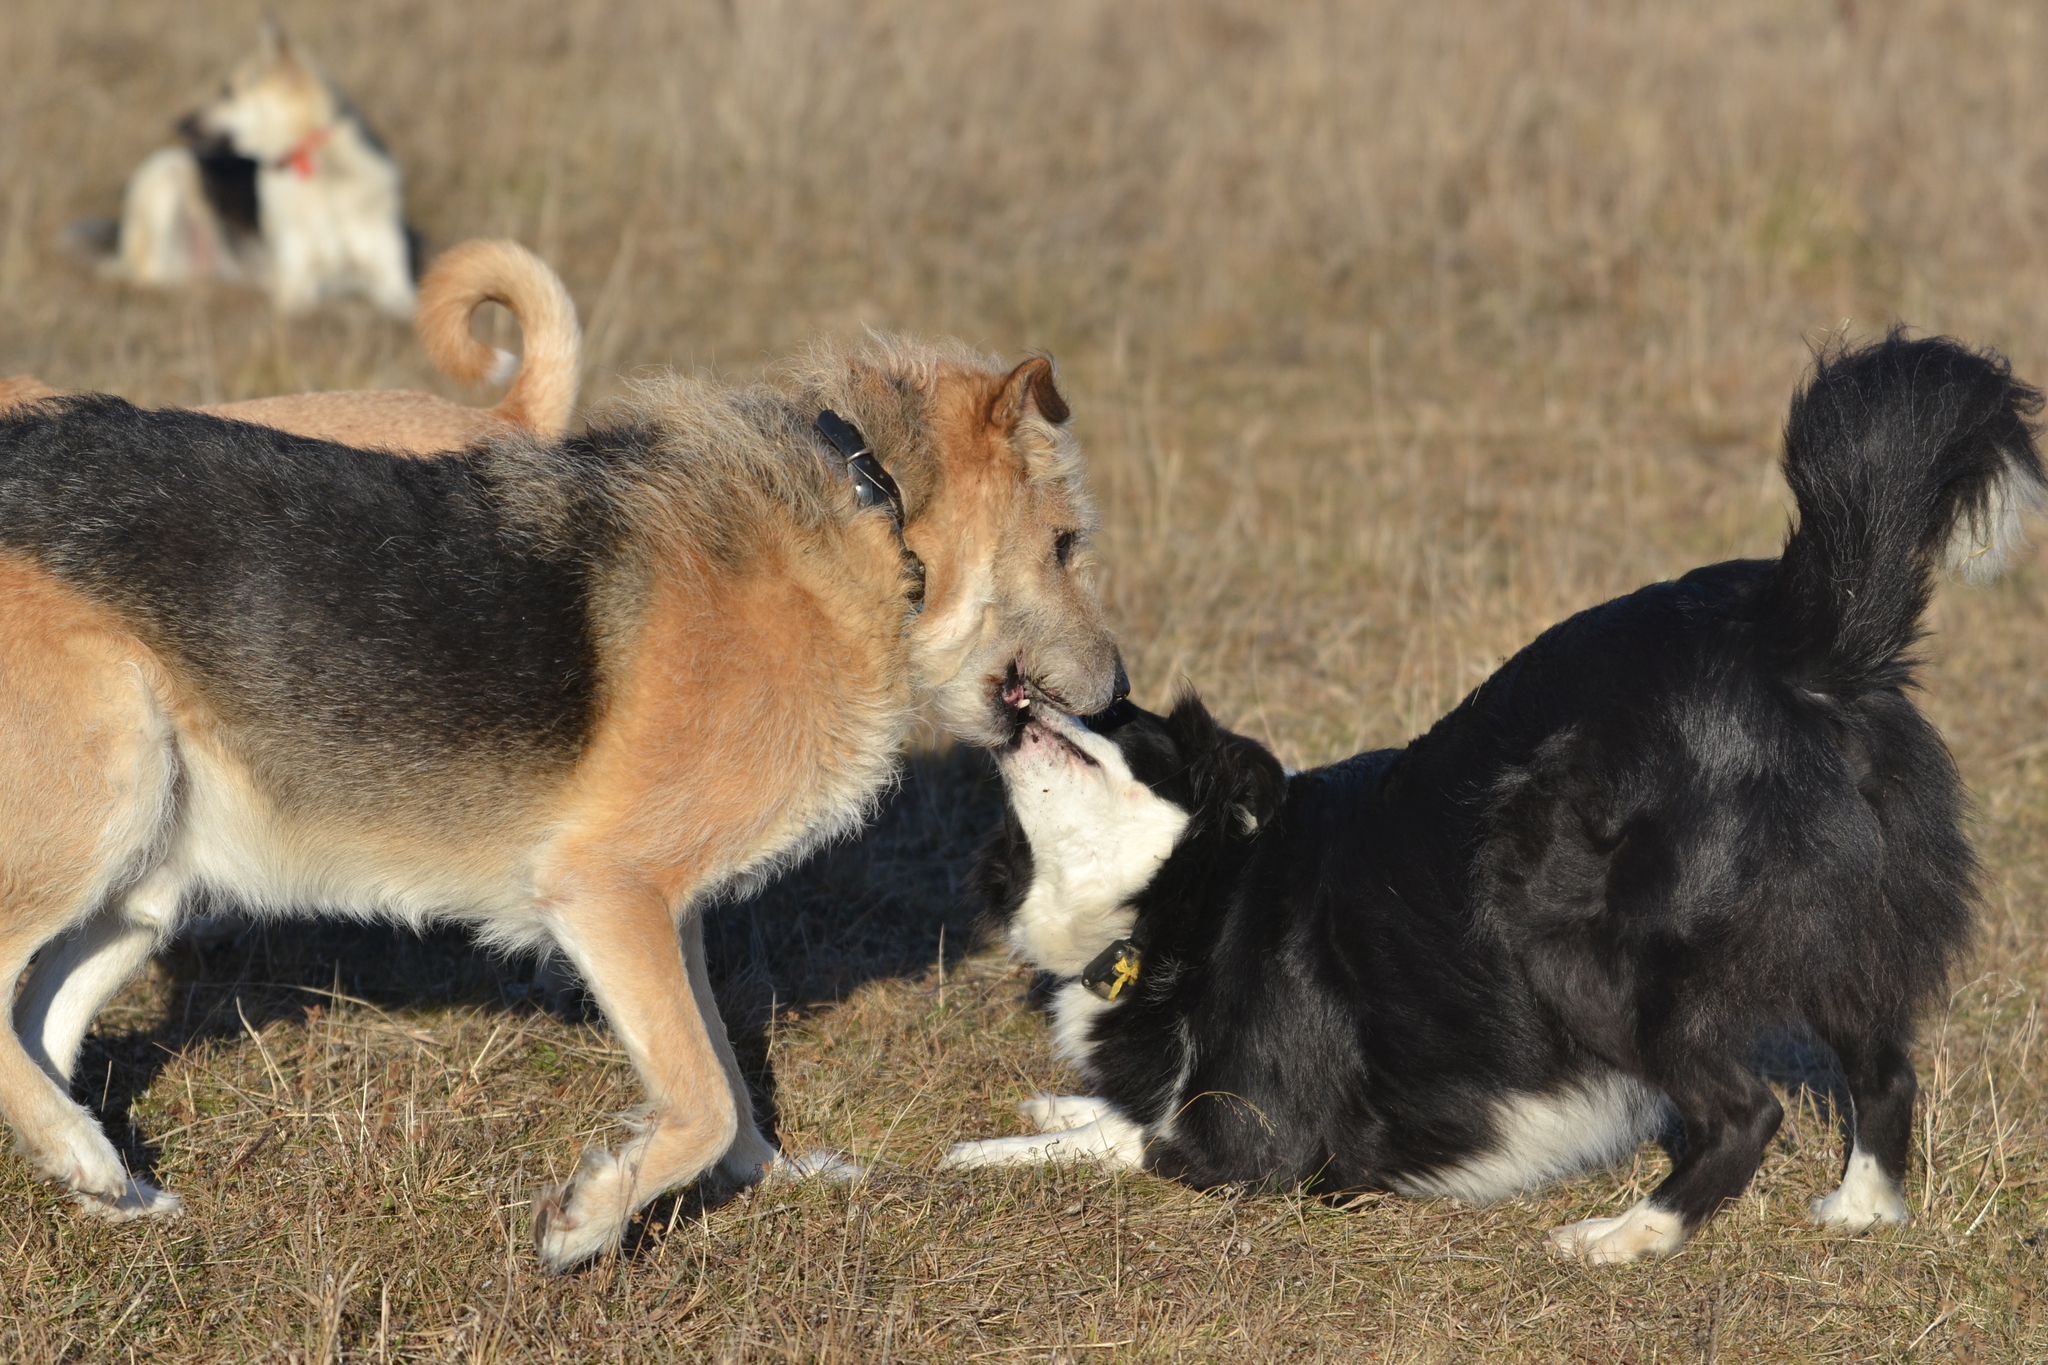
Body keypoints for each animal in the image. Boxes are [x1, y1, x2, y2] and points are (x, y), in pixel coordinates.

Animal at [0, 335, 1122, 1277]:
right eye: (1067, 544)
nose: (1118, 692)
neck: (872, 511)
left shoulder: (665, 918)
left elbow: (723, 1077)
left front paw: (767, 1175)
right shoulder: (609, 892)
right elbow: (704, 1100)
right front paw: (589, 1220)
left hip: (147, 881)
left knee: (40, 1017)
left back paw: (101, 1179)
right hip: (110, 802)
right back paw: (83, 1155)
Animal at [946, 335, 2048, 1268]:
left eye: (1121, 720)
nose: (1024, 686)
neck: (1201, 885)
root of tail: (1800, 634)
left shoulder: (1259, 1136)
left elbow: (1145, 1136)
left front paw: (983, 1152)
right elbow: (1120, 1112)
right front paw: (1060, 1104)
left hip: (1568, 935)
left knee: (1747, 1112)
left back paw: (1625, 1235)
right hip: (1835, 924)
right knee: (1883, 1064)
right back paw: (1861, 1208)